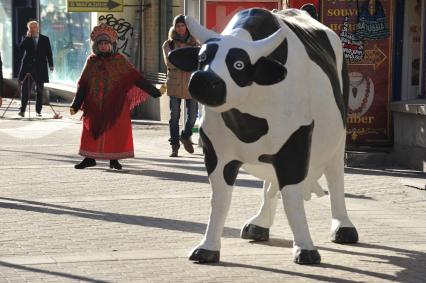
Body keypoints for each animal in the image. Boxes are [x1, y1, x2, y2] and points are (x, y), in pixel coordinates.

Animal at [168, 8, 358, 266]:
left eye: (238, 64)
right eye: (202, 58)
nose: (203, 79)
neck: (248, 120)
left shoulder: (295, 146)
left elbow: (292, 199)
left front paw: (305, 248)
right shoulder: (216, 152)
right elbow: (219, 199)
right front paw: (207, 247)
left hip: (339, 137)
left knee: (336, 177)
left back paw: (343, 227)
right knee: (271, 184)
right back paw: (259, 224)